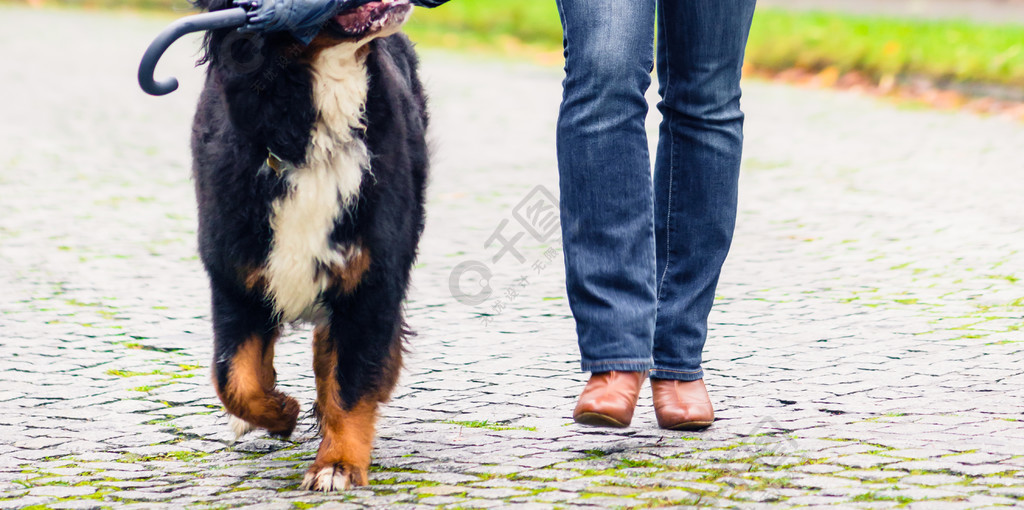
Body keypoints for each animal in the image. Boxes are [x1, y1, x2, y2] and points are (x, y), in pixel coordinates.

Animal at [190, 0, 425, 491]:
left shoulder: (371, 276)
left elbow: (351, 380)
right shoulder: (234, 275)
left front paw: (338, 463)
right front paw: (280, 411)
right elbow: (234, 377)